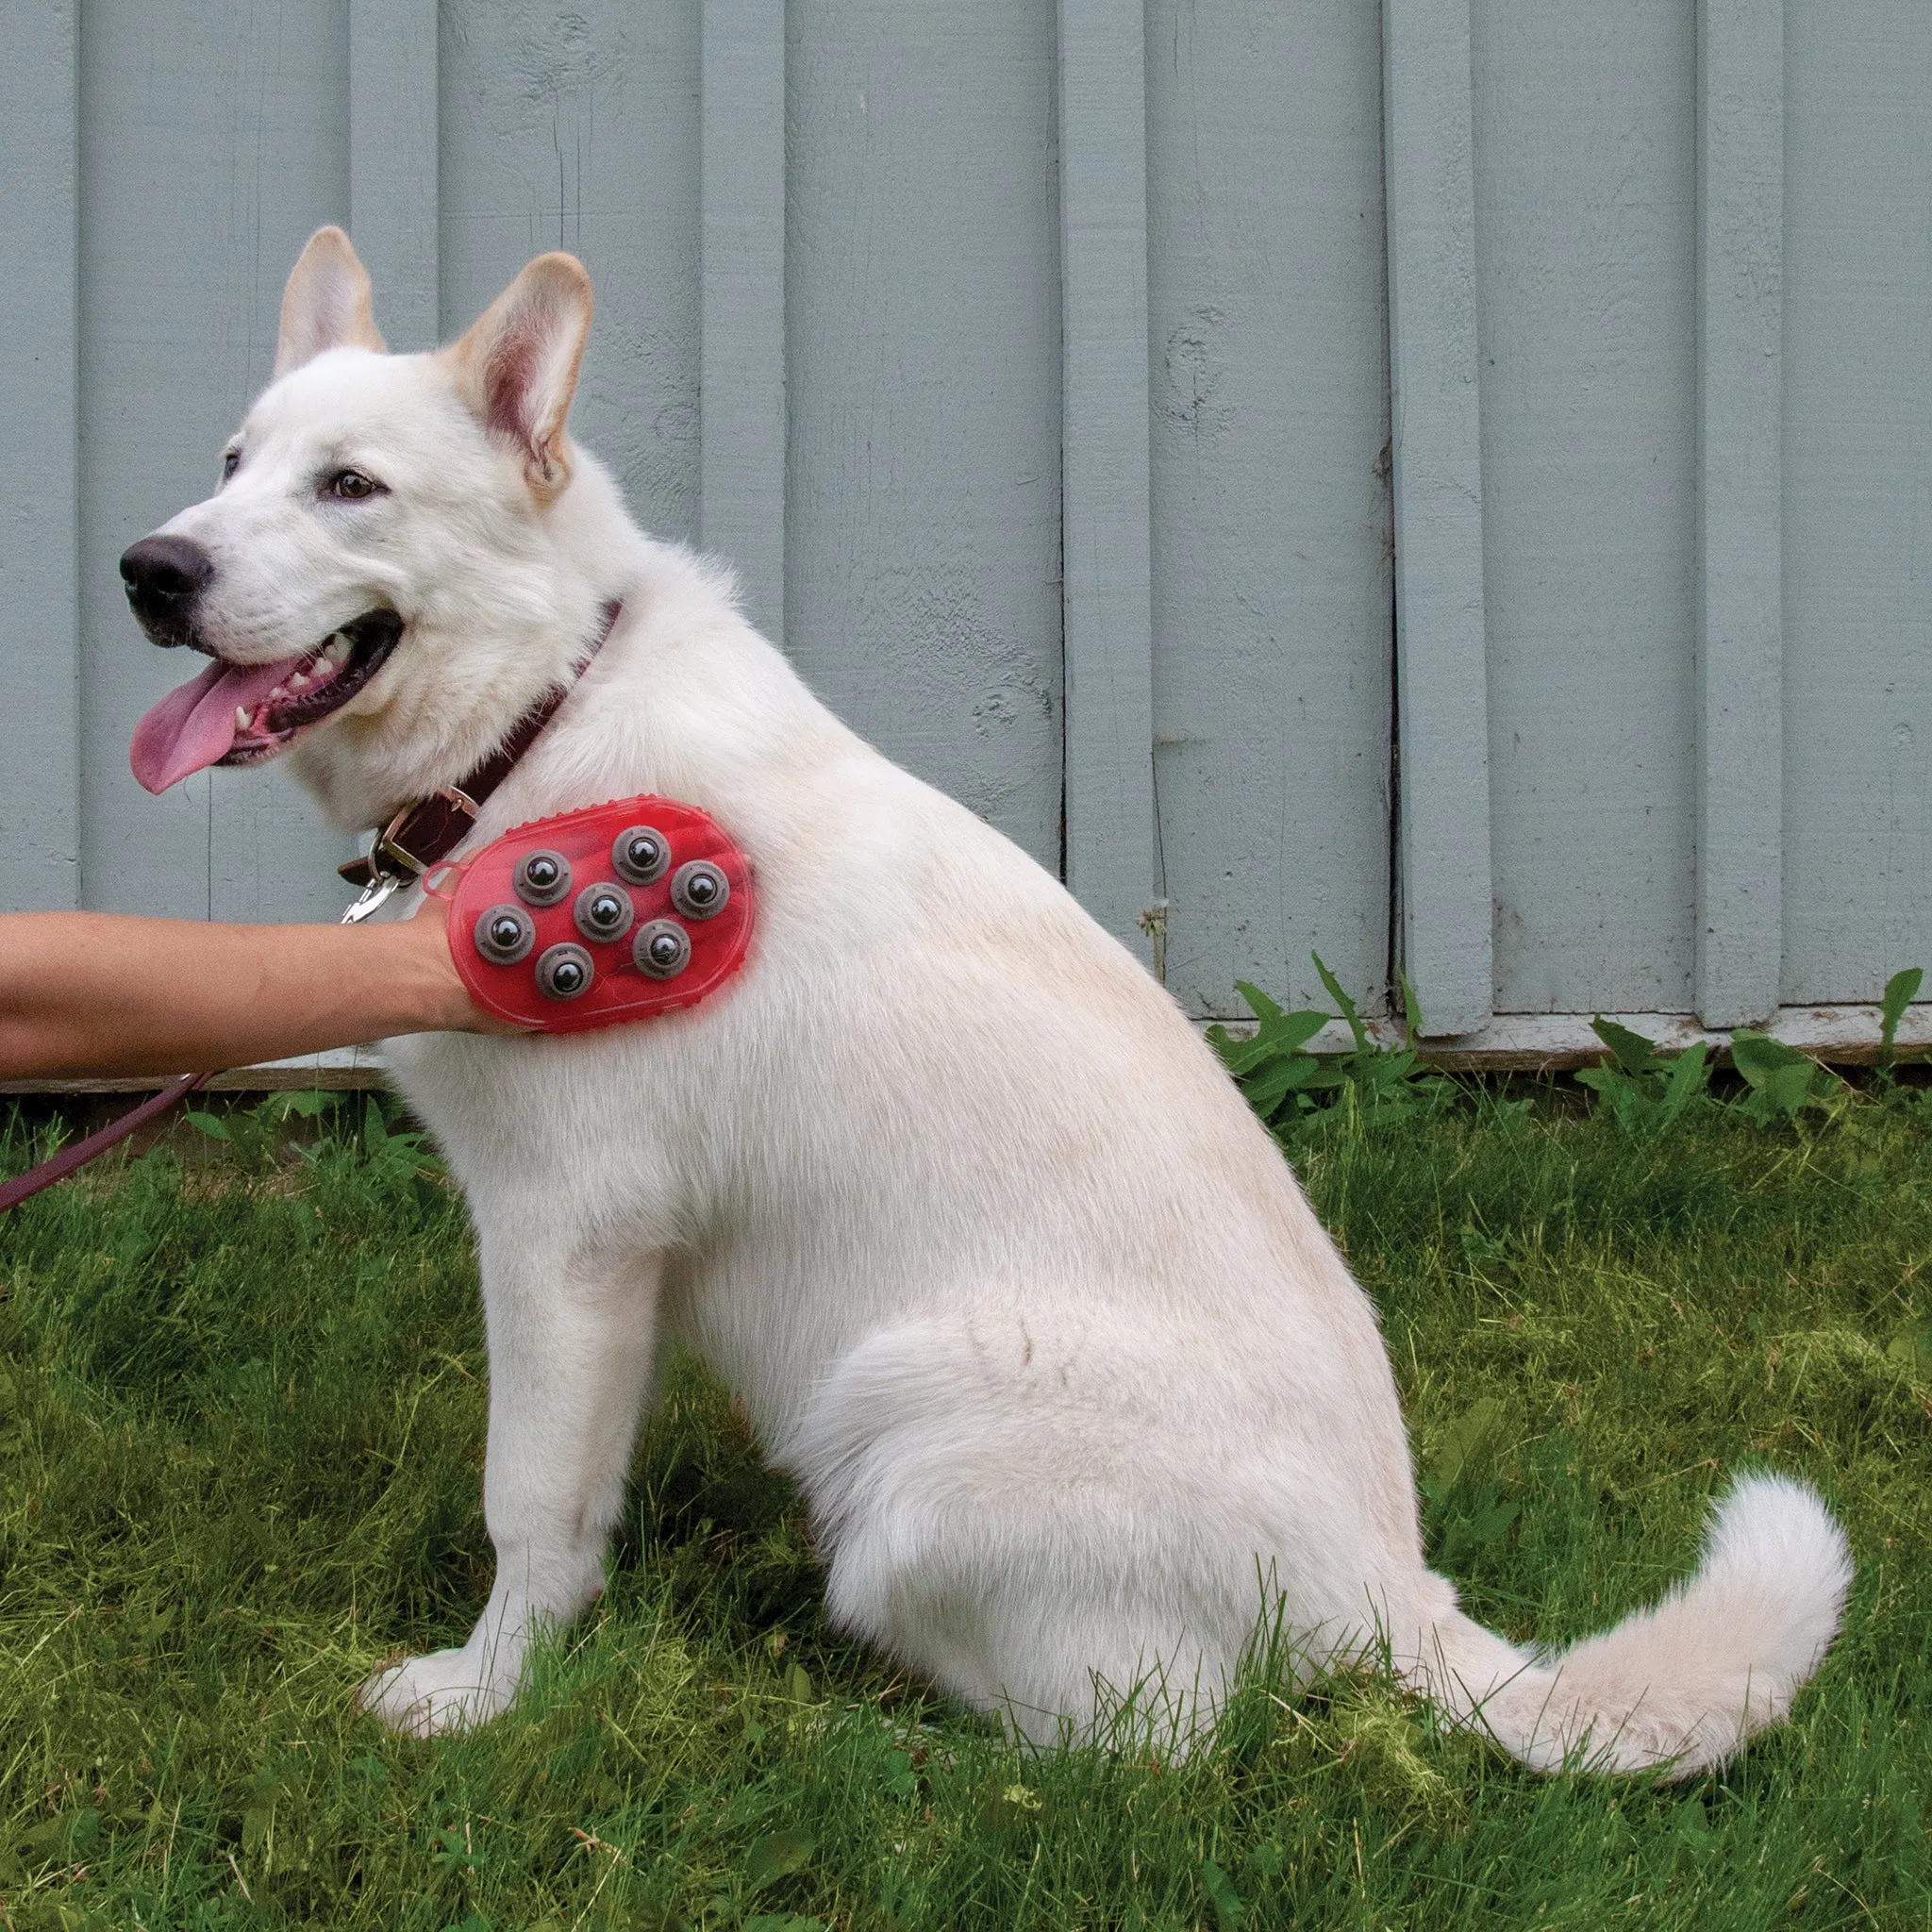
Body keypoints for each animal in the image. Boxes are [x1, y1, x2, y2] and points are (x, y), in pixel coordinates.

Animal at [116, 225, 1839, 1769]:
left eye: (350, 486)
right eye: (232, 462)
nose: (149, 568)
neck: (538, 714)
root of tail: (1390, 1588)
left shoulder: (559, 1233)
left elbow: (526, 1507)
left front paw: (484, 1702)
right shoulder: (627, 1270)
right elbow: (583, 1495)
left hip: (903, 1421)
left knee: (1149, 1743)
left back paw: (880, 1747)